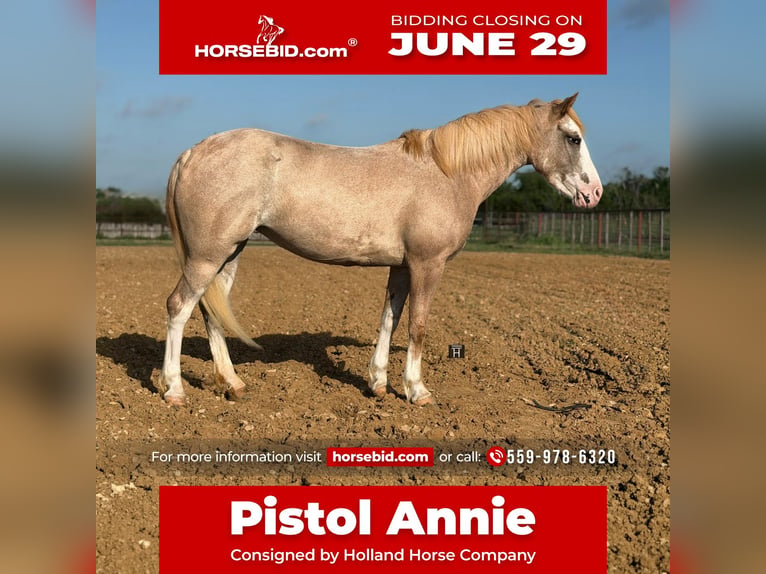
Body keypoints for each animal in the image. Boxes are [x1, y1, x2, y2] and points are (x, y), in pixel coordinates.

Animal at [157, 94, 602, 406]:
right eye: (573, 138)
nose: (595, 193)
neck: (446, 174)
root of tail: (192, 152)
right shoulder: (427, 265)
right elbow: (417, 325)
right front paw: (417, 391)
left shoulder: (402, 267)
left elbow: (390, 318)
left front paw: (378, 383)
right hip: (207, 256)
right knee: (179, 306)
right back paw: (174, 389)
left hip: (228, 254)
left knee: (211, 313)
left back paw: (232, 384)